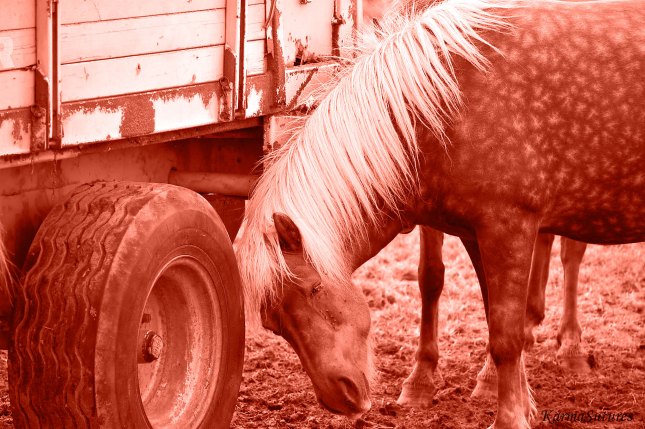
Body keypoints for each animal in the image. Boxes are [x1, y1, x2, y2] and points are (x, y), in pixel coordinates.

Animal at [398, 227, 589, 407]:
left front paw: (491, 378)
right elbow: (430, 276)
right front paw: (420, 377)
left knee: (571, 250)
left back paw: (570, 343)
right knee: (545, 236)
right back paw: (529, 319)